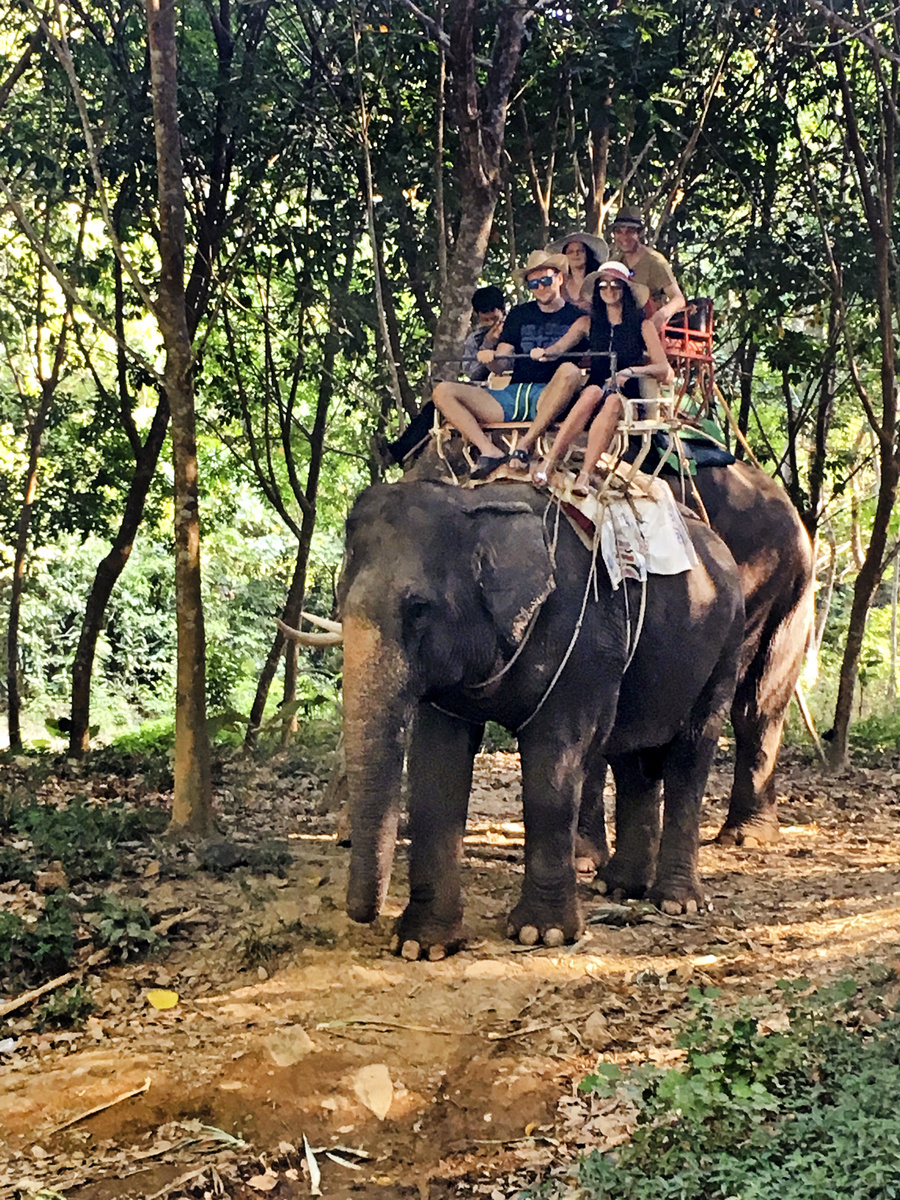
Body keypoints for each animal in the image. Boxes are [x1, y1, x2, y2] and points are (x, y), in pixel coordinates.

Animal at [336, 477, 744, 955]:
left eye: (418, 608)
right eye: (339, 600)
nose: (362, 915)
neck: (475, 504)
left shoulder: (583, 645)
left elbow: (554, 759)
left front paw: (542, 934)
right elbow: (437, 767)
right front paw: (423, 945)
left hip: (726, 648)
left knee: (689, 756)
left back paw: (676, 903)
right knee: (631, 759)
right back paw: (620, 887)